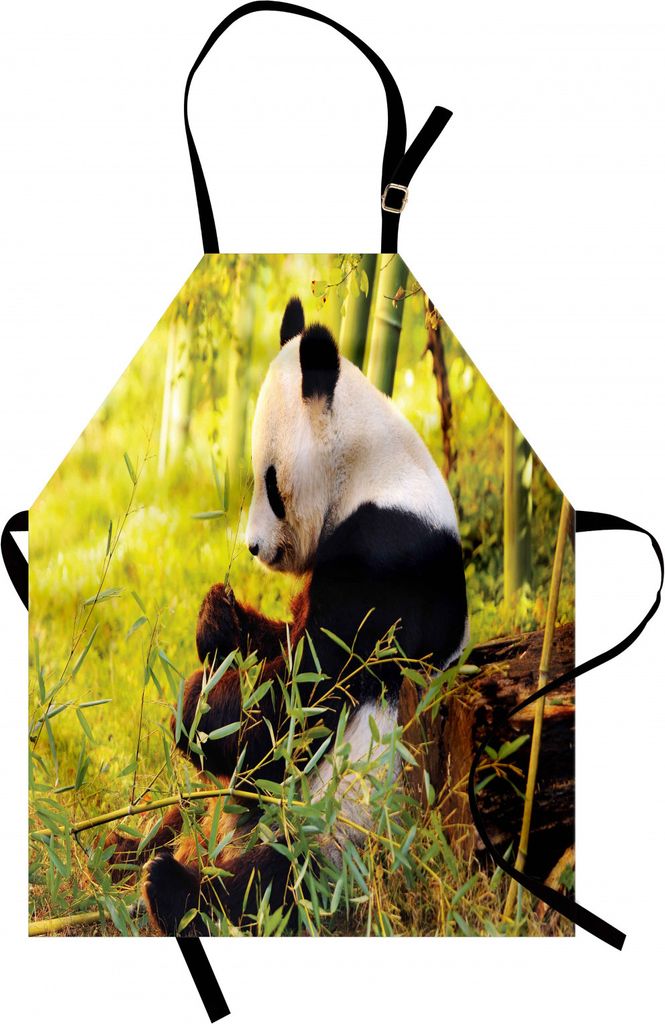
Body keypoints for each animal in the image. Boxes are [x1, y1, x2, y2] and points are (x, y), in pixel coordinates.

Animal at [137, 296, 468, 935]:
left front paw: (198, 710)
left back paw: (173, 890)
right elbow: (282, 641)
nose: (254, 549)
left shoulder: (390, 551)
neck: (370, 470)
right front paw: (216, 618)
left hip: (342, 831)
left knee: (274, 887)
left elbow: (307, 695)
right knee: (182, 820)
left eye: (270, 482)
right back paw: (128, 849)